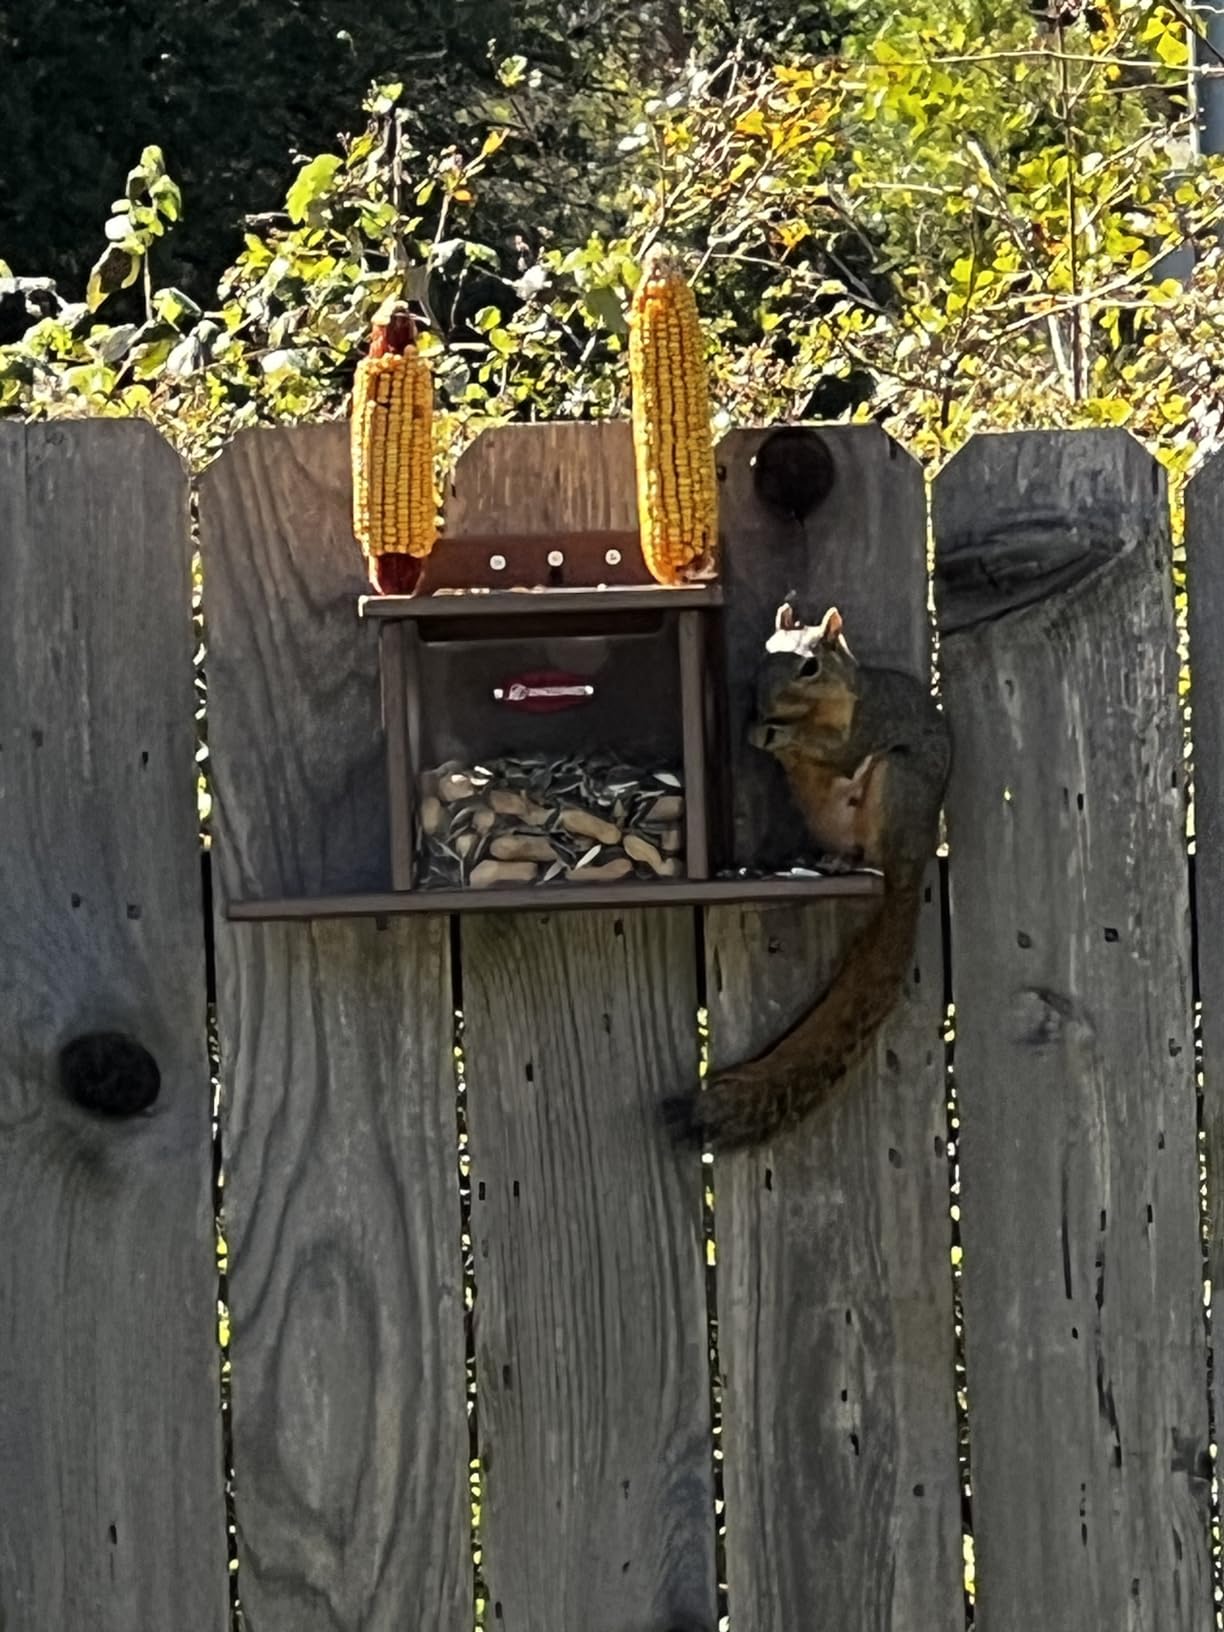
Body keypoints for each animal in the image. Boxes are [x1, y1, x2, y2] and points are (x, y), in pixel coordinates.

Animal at [666, 602, 951, 1152]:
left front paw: (784, 736)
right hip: (820, 814)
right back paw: (830, 860)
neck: (807, 711)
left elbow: (834, 750)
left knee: (878, 850)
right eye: (764, 653)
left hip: (897, 788)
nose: (763, 704)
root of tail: (914, 864)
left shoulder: (861, 724)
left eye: (810, 666)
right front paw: (758, 730)